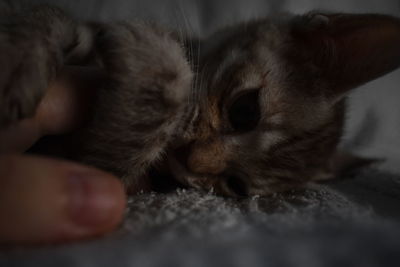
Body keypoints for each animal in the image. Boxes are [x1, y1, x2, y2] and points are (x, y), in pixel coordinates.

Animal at [0, 4, 400, 197]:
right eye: (244, 111)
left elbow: (105, 161)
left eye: (235, 186)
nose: (191, 160)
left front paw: (154, 59)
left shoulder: (99, 171)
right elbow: (53, 15)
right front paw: (21, 56)